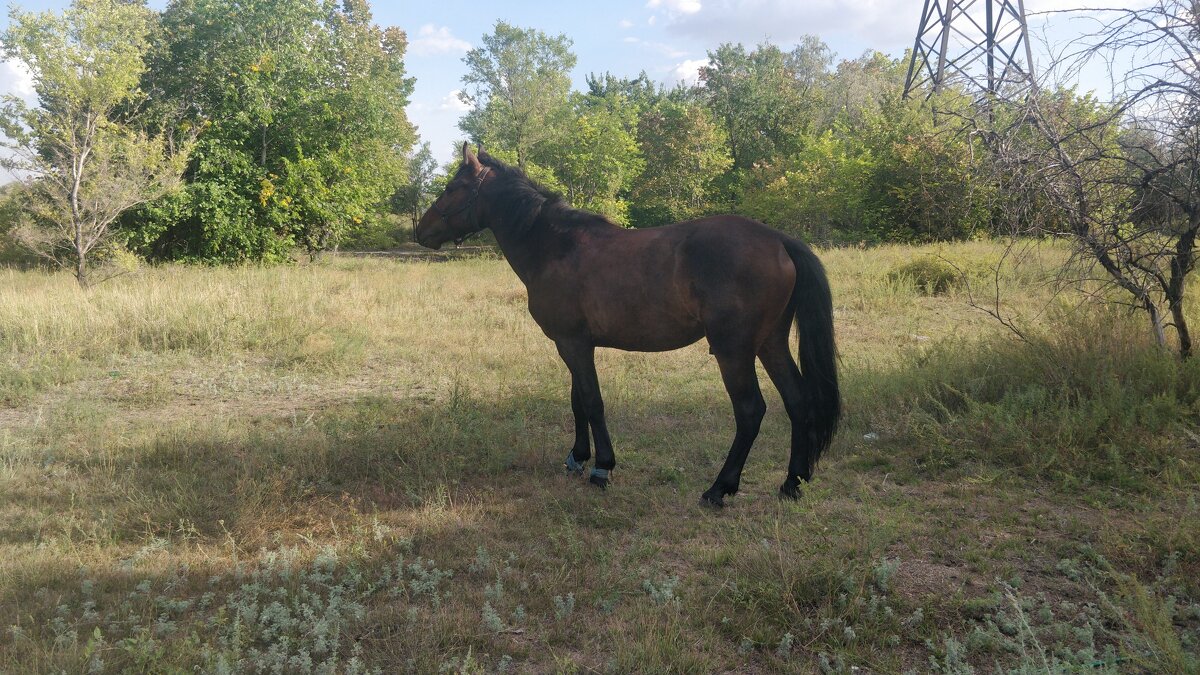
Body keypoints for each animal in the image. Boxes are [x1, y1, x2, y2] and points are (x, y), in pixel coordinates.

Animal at [417, 144, 840, 506]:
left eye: (453, 187)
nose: (421, 230)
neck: (556, 247)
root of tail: (779, 240)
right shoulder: (573, 344)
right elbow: (577, 400)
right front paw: (577, 457)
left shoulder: (572, 343)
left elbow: (592, 401)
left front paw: (602, 467)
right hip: (770, 343)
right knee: (797, 401)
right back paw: (792, 482)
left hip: (733, 351)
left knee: (751, 411)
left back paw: (719, 488)